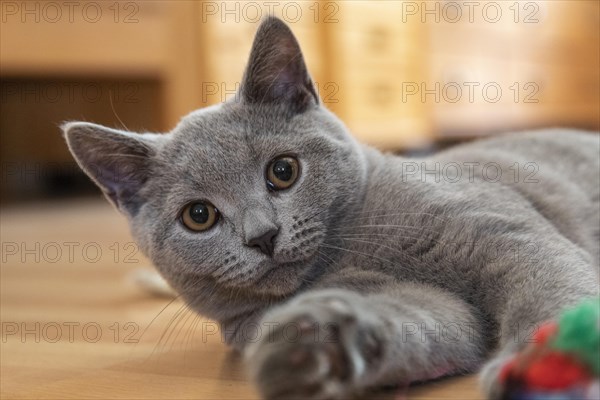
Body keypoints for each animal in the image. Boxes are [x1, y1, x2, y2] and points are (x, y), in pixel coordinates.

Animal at [63, 16, 596, 400]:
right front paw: (315, 347)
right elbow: (429, 325)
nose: (262, 235)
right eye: (199, 216)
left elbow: (547, 286)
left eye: (283, 171)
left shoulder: (499, 233)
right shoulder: (418, 303)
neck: (347, 258)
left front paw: (544, 366)